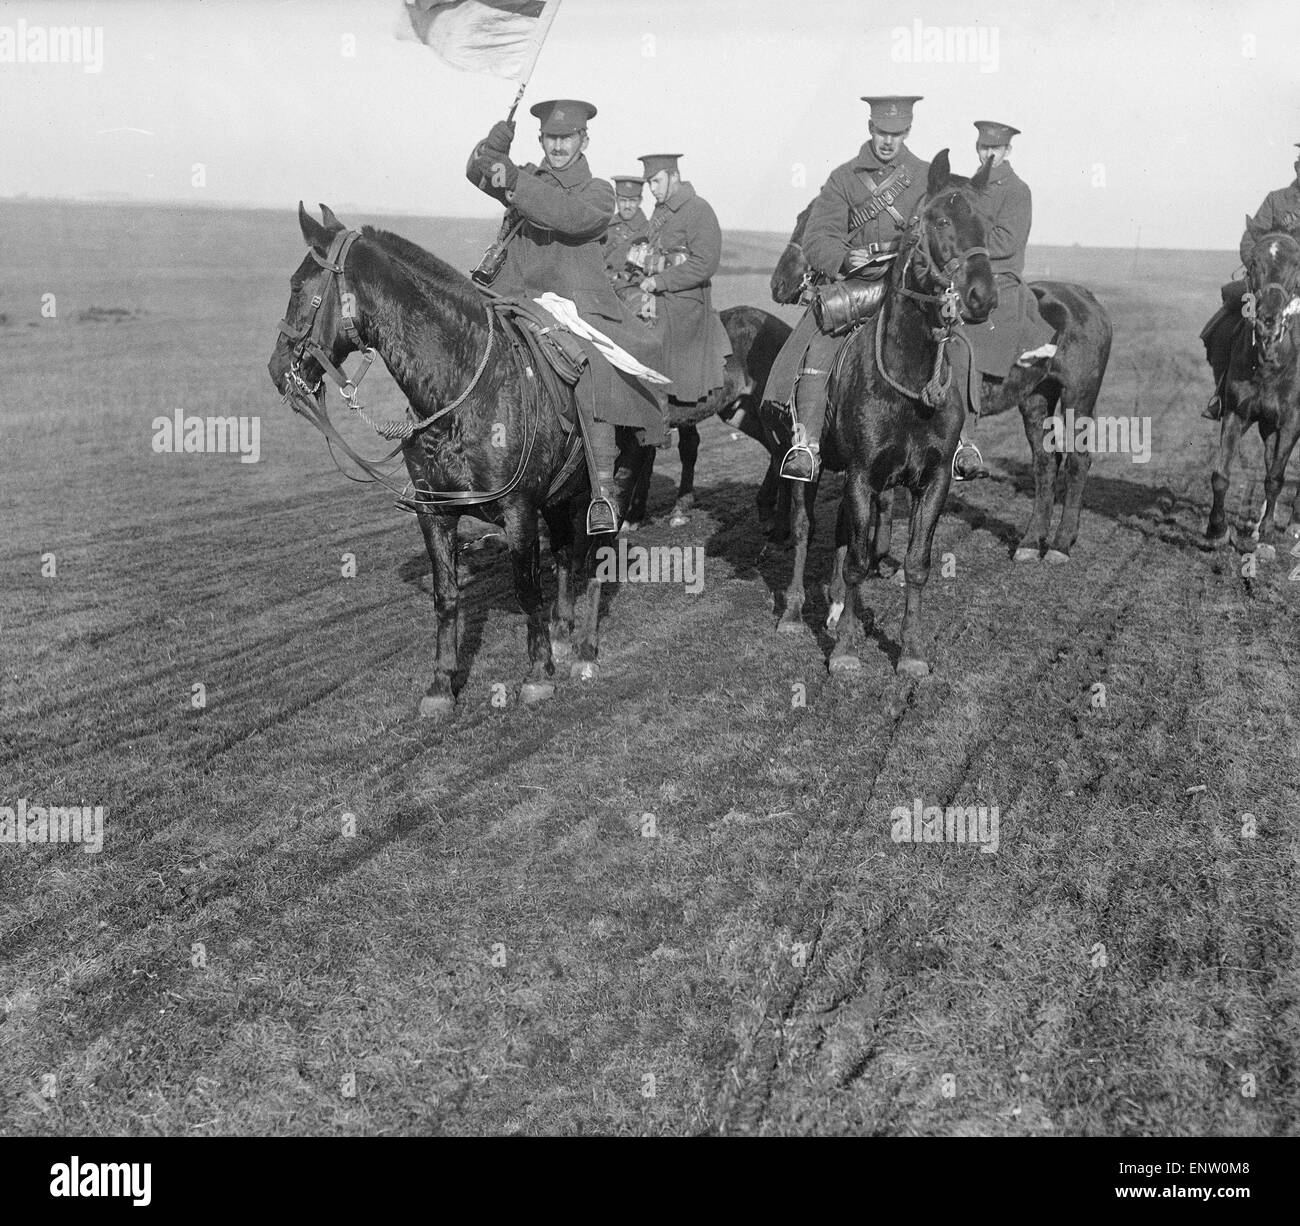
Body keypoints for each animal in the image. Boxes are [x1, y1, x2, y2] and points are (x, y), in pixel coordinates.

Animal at [759, 153, 993, 681]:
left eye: (986, 224)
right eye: (940, 220)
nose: (981, 296)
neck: (910, 385)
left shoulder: (932, 480)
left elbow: (914, 563)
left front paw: (911, 651)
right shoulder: (863, 475)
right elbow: (858, 560)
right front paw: (845, 650)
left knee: (843, 537)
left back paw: (834, 606)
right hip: (809, 466)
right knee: (806, 530)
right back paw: (793, 613)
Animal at [769, 189, 1118, 566]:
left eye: (805, 222)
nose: (779, 283)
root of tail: (1086, 298)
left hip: (1077, 397)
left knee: (1078, 461)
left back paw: (1060, 544)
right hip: (1036, 399)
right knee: (1044, 462)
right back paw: (1029, 541)